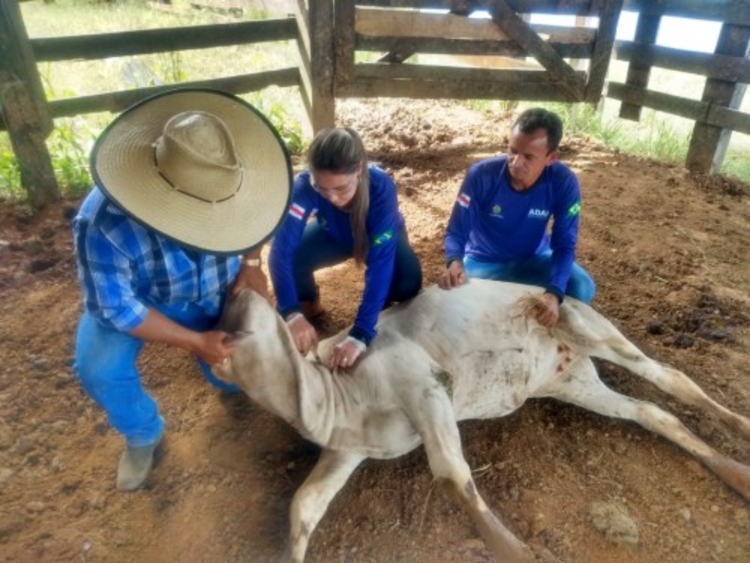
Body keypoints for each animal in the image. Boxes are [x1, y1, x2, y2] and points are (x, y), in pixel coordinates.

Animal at [214, 282, 750, 563]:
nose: (231, 293)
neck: (331, 403)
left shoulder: (428, 385)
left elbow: (451, 477)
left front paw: (521, 553)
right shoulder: (349, 448)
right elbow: (304, 503)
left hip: (587, 325)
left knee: (670, 378)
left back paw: (740, 431)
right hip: (571, 381)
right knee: (649, 412)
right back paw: (734, 473)